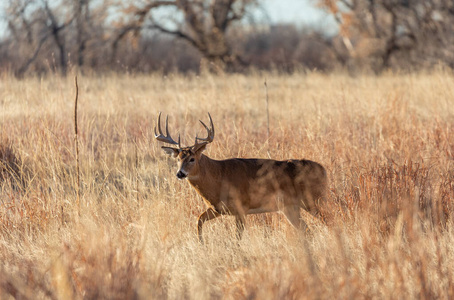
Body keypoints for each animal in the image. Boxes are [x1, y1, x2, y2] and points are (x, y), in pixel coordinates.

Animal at [155, 113, 326, 244]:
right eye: (178, 158)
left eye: (192, 159)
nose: (180, 173)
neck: (218, 177)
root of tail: (323, 170)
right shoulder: (217, 209)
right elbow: (199, 220)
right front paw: (201, 244)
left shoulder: (241, 207)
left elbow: (237, 237)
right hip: (290, 207)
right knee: (307, 229)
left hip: (314, 199)